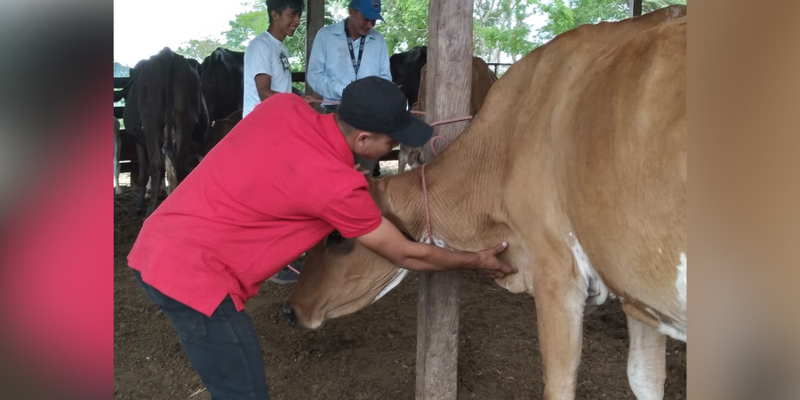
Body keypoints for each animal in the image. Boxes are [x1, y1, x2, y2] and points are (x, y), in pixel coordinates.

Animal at [286, 7, 688, 400]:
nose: (293, 309)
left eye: (336, 236)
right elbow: (644, 379)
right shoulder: (634, 288)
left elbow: (559, 385)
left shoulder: (559, 275)